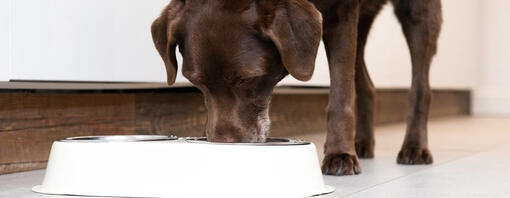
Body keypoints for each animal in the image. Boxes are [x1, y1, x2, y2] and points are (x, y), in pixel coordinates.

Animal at [151, 0, 442, 176]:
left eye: (248, 79)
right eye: (196, 81)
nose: (224, 144)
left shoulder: (343, 13)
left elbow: (340, 96)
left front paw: (339, 154)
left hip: (419, 13)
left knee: (420, 88)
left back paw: (415, 147)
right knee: (367, 85)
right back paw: (362, 142)